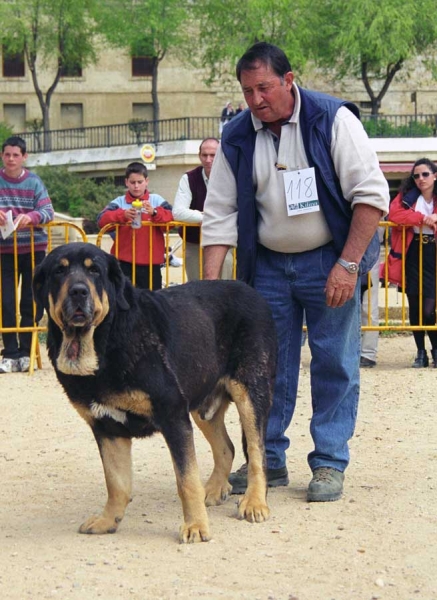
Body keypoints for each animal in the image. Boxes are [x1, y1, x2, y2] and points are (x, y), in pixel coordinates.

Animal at [33, 243, 276, 544]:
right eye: (59, 271)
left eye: (94, 271)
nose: (79, 291)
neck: (104, 341)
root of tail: (253, 292)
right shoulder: (106, 428)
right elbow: (116, 483)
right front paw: (107, 520)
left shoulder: (173, 416)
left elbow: (186, 480)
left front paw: (196, 526)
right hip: (203, 408)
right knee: (227, 448)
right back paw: (214, 489)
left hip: (250, 395)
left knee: (257, 453)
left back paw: (254, 503)